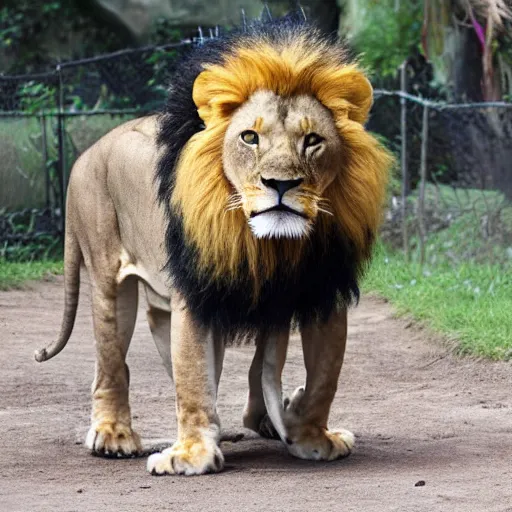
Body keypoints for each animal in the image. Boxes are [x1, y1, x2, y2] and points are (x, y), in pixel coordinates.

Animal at [34, 20, 392, 476]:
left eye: (313, 140)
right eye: (250, 137)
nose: (280, 184)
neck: (270, 246)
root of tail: (85, 155)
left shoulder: (323, 290)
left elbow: (323, 378)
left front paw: (311, 435)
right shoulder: (197, 291)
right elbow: (193, 376)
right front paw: (191, 454)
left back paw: (264, 419)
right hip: (108, 280)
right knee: (111, 363)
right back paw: (113, 435)